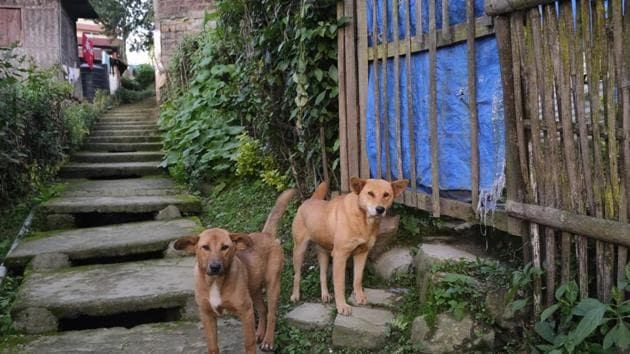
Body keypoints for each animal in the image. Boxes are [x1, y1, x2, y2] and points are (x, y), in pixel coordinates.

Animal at [175, 189, 296, 352]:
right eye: (205, 247)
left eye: (225, 247)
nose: (215, 267)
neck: (215, 282)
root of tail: (266, 234)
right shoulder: (207, 315)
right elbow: (213, 346)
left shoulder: (245, 311)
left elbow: (248, 343)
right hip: (254, 288)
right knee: (262, 309)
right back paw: (260, 333)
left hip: (273, 285)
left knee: (271, 313)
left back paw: (268, 340)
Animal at [292, 177, 410, 316]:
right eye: (370, 193)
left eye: (386, 194)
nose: (380, 209)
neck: (363, 220)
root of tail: (309, 200)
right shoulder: (340, 256)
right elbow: (340, 285)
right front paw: (342, 306)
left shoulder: (362, 253)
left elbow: (357, 279)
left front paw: (359, 296)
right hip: (299, 250)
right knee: (297, 275)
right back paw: (295, 295)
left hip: (323, 253)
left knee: (322, 274)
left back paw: (325, 295)